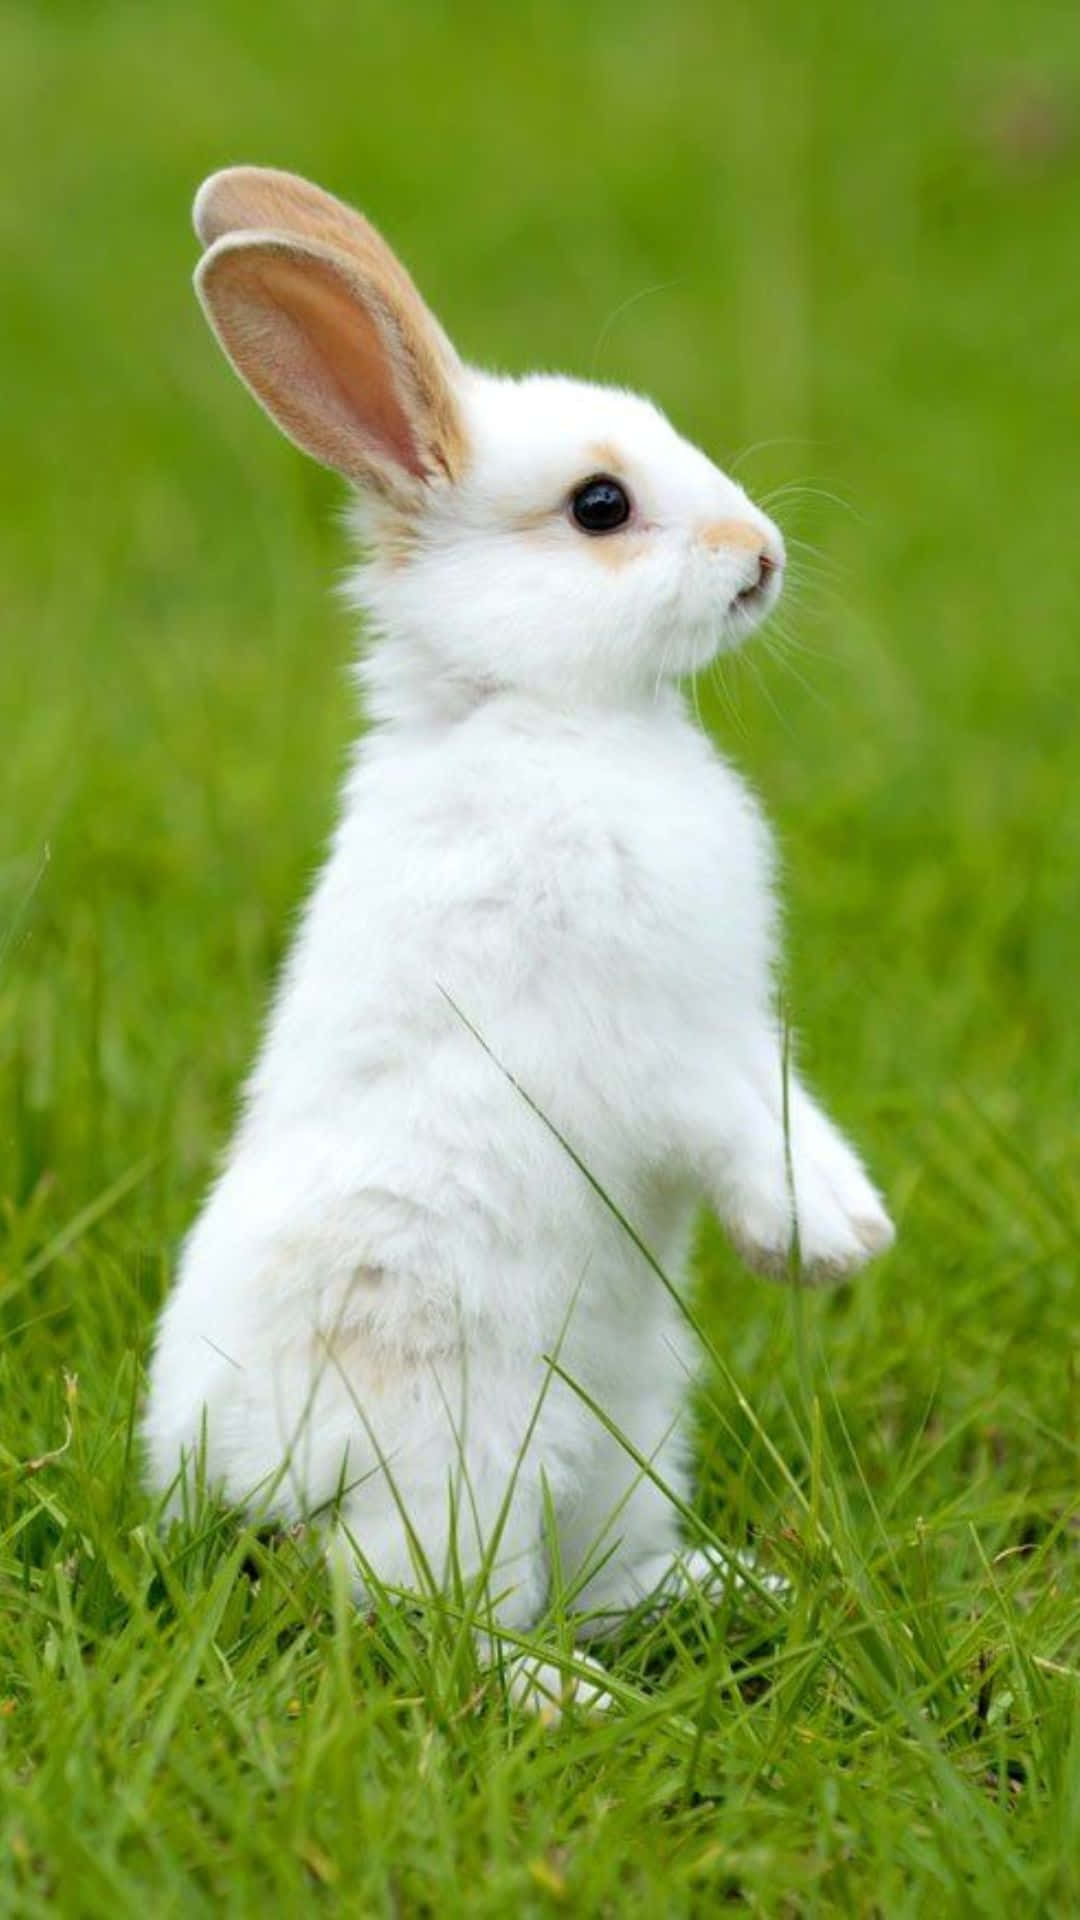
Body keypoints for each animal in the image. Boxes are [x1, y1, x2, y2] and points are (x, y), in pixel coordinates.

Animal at [145, 166, 894, 1714]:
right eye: (600, 506)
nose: (762, 556)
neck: (549, 716)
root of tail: (241, 1481)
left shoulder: (738, 1023)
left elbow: (787, 1100)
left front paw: (852, 1228)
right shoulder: (654, 1045)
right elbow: (735, 1127)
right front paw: (821, 1247)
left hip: (627, 1436)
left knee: (589, 1577)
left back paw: (729, 1590)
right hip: (461, 1458)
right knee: (421, 1614)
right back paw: (573, 1700)